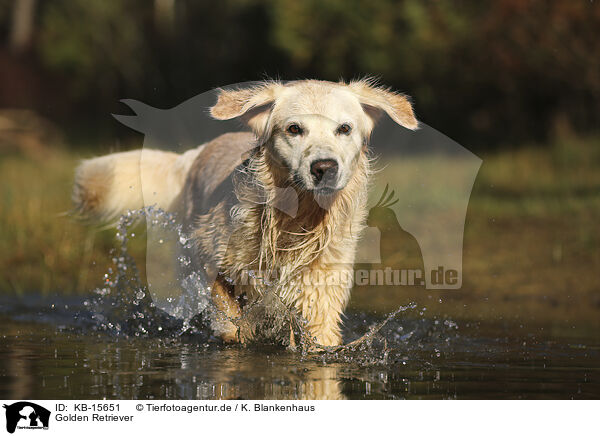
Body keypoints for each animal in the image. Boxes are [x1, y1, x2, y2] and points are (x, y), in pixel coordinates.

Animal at [74, 79, 418, 348]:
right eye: (294, 129)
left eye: (344, 129)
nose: (324, 168)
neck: (296, 219)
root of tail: (197, 153)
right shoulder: (212, 259)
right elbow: (230, 320)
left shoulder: (321, 289)